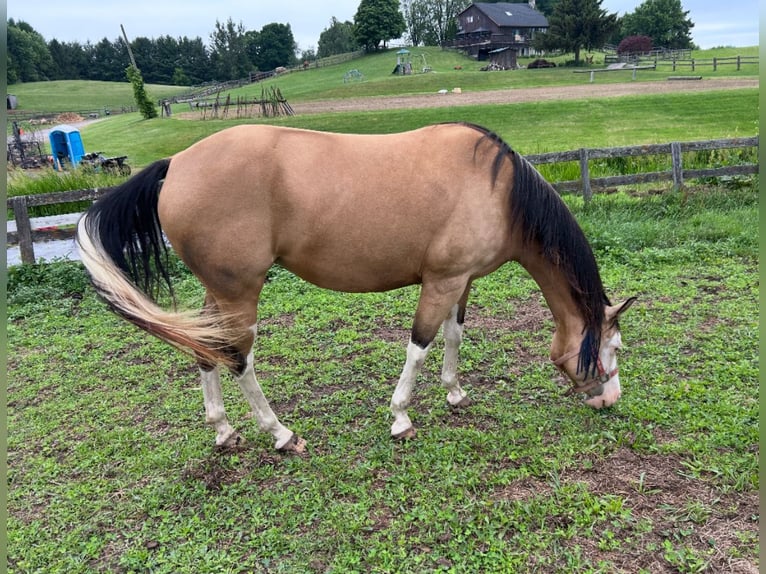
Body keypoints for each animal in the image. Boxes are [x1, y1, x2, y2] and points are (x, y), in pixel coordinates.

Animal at [76, 122, 636, 454]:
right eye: (612, 348)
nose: (609, 400)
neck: (498, 190)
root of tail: (176, 164)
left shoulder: (463, 282)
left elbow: (454, 336)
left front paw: (455, 393)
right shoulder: (441, 282)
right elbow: (420, 345)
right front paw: (400, 417)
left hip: (218, 293)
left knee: (206, 350)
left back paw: (223, 429)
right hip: (240, 295)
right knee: (238, 359)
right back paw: (280, 434)